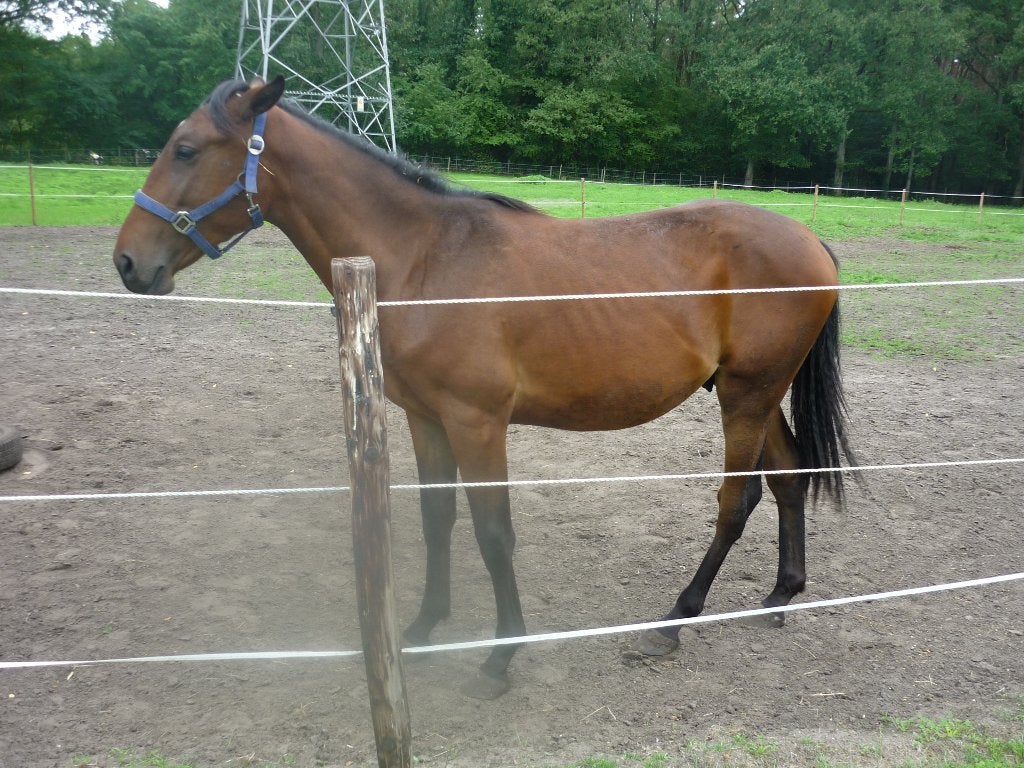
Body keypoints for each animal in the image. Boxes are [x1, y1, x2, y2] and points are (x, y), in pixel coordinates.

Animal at [113, 76, 855, 699]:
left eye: (186, 148)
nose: (128, 262)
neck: (424, 257)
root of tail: (810, 239)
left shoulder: (478, 423)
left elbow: (493, 534)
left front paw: (500, 658)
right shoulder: (426, 419)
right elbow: (436, 518)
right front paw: (421, 630)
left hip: (746, 396)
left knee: (737, 501)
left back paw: (673, 622)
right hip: (754, 394)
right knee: (789, 479)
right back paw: (779, 599)